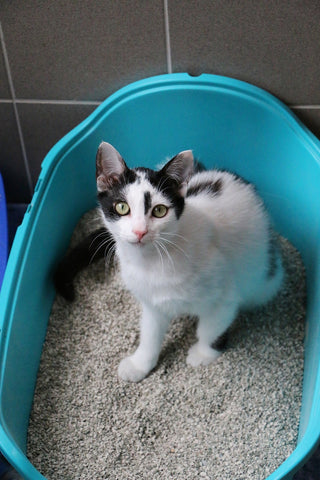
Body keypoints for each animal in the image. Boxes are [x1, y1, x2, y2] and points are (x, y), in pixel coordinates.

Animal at [54, 142, 282, 382]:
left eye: (159, 210)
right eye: (122, 207)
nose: (140, 231)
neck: (152, 262)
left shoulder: (225, 297)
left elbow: (211, 327)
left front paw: (203, 353)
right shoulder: (152, 303)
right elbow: (150, 334)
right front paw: (140, 364)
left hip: (264, 283)